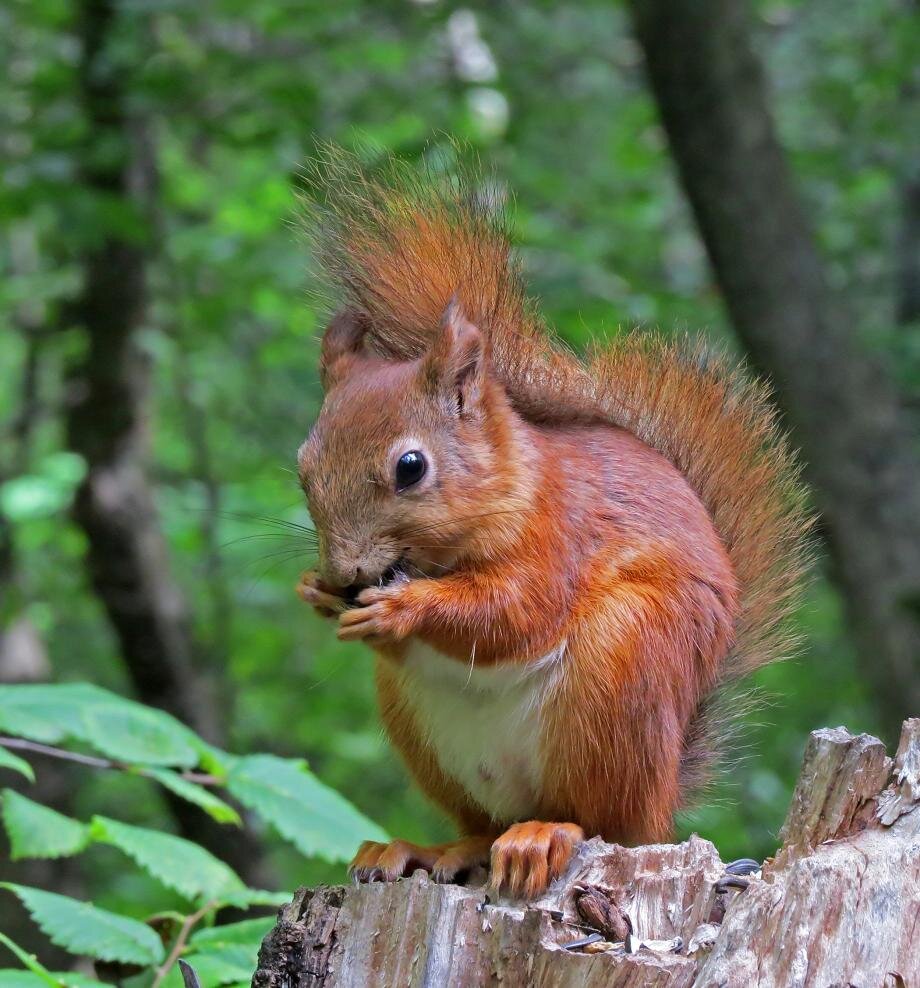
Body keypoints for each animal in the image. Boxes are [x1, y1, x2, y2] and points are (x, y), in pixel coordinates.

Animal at [296, 151, 812, 900]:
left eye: (410, 467)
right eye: (302, 468)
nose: (346, 574)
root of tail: (662, 801)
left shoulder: (559, 532)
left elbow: (518, 611)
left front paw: (401, 608)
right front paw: (314, 591)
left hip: (622, 668)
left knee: (600, 820)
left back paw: (545, 835)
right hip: (424, 733)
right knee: (480, 825)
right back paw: (424, 847)